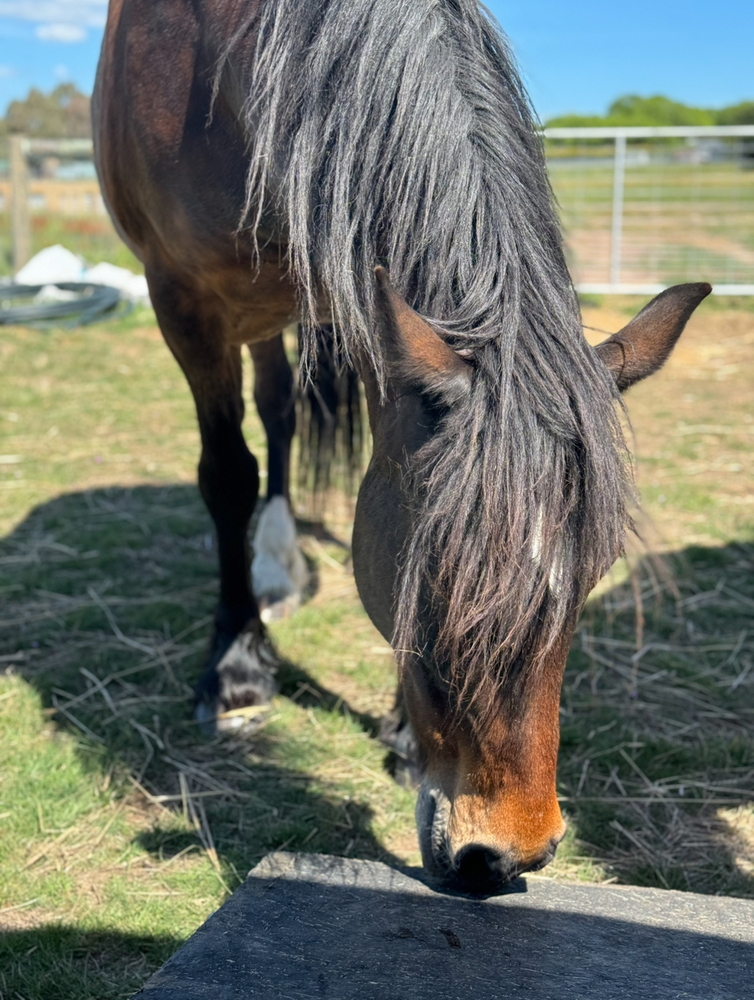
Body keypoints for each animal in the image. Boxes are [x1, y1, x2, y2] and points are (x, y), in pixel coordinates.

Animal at [94, 0, 710, 894]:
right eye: (433, 574)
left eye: (591, 579)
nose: (506, 856)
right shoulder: (184, 300)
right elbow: (227, 475)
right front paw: (236, 672)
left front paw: (397, 727)